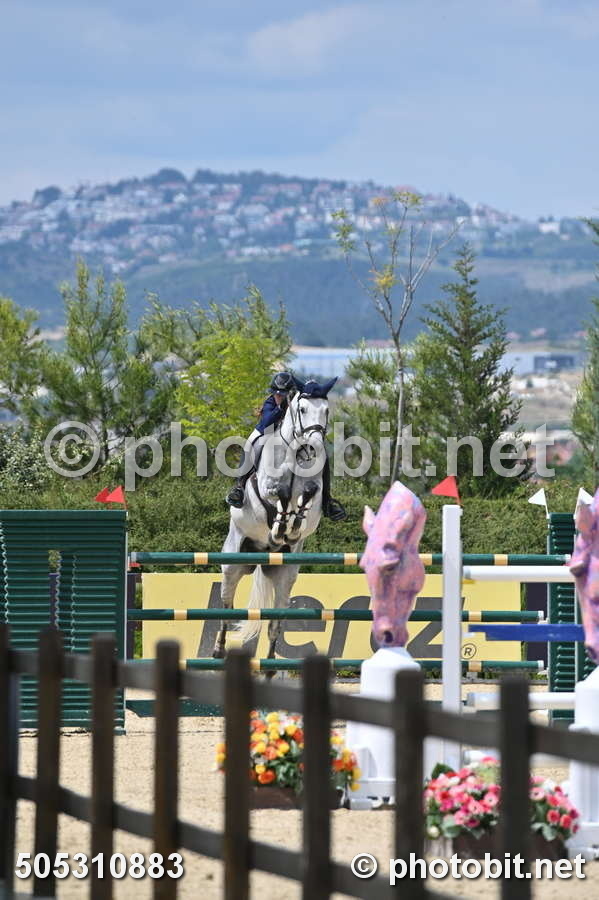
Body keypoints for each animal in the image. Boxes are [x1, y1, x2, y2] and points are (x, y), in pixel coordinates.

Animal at [213, 377, 337, 661]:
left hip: (285, 575)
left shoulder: (314, 496)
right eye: (301, 409)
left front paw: (292, 527)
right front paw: (282, 526)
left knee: (275, 623)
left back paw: (269, 664)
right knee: (225, 608)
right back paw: (218, 649)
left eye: (326, 410)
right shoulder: (266, 487)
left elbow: (307, 495)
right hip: (232, 564)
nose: (315, 447)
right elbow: (279, 493)